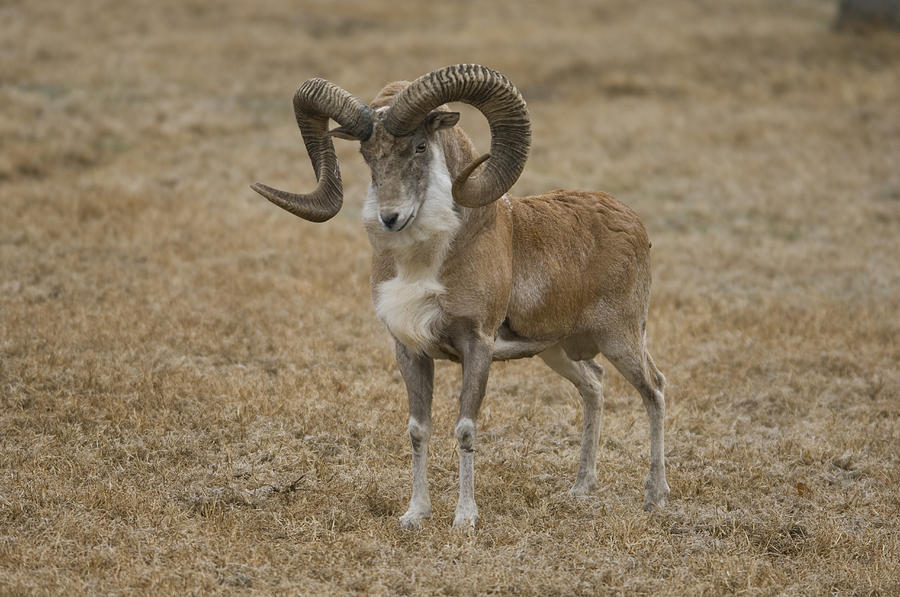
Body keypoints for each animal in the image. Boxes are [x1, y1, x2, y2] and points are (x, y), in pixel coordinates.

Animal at [251, 65, 668, 528]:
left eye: (419, 146)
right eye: (367, 153)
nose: (390, 217)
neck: (425, 263)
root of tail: (633, 223)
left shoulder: (477, 347)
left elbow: (465, 428)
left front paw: (464, 518)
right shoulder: (410, 351)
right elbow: (419, 429)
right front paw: (415, 515)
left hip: (622, 340)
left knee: (655, 391)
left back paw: (654, 498)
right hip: (558, 352)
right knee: (594, 385)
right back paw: (580, 489)